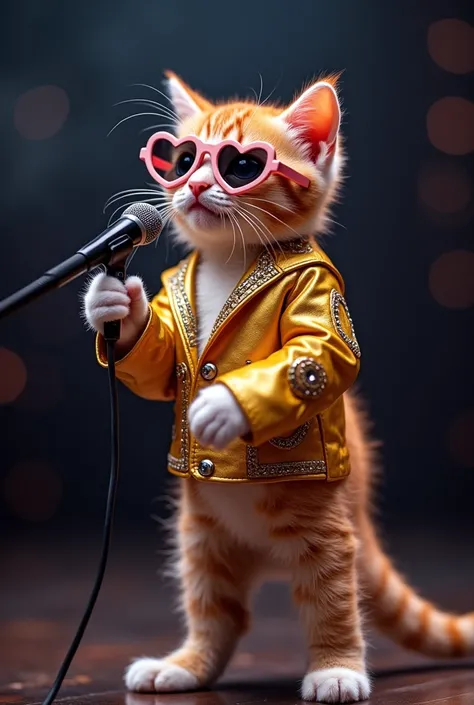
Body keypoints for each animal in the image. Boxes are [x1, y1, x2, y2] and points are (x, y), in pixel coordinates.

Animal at [82, 74, 474, 700]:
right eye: (183, 159)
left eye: (240, 165)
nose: (195, 184)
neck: (228, 261)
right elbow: (159, 366)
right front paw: (115, 306)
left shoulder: (319, 293)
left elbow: (319, 355)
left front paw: (221, 407)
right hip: (202, 536)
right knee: (219, 612)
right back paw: (186, 665)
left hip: (322, 525)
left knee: (330, 595)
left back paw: (337, 669)